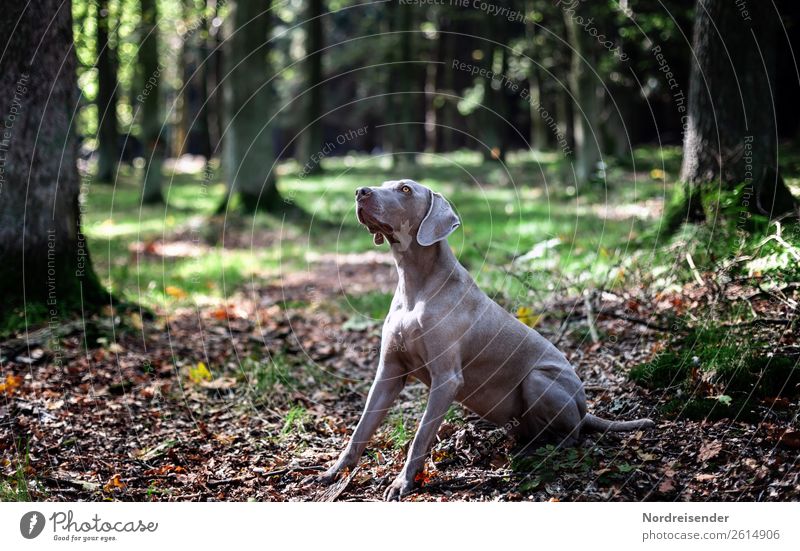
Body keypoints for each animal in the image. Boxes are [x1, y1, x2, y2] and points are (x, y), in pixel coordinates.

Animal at [318, 180, 656, 500]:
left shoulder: (446, 378)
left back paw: (539, 452)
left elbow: (420, 436)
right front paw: (335, 472)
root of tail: (586, 407)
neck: (415, 285)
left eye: (405, 189)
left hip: (538, 379)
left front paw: (402, 483)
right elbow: (361, 428)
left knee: (572, 436)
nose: (360, 191)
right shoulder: (389, 371)